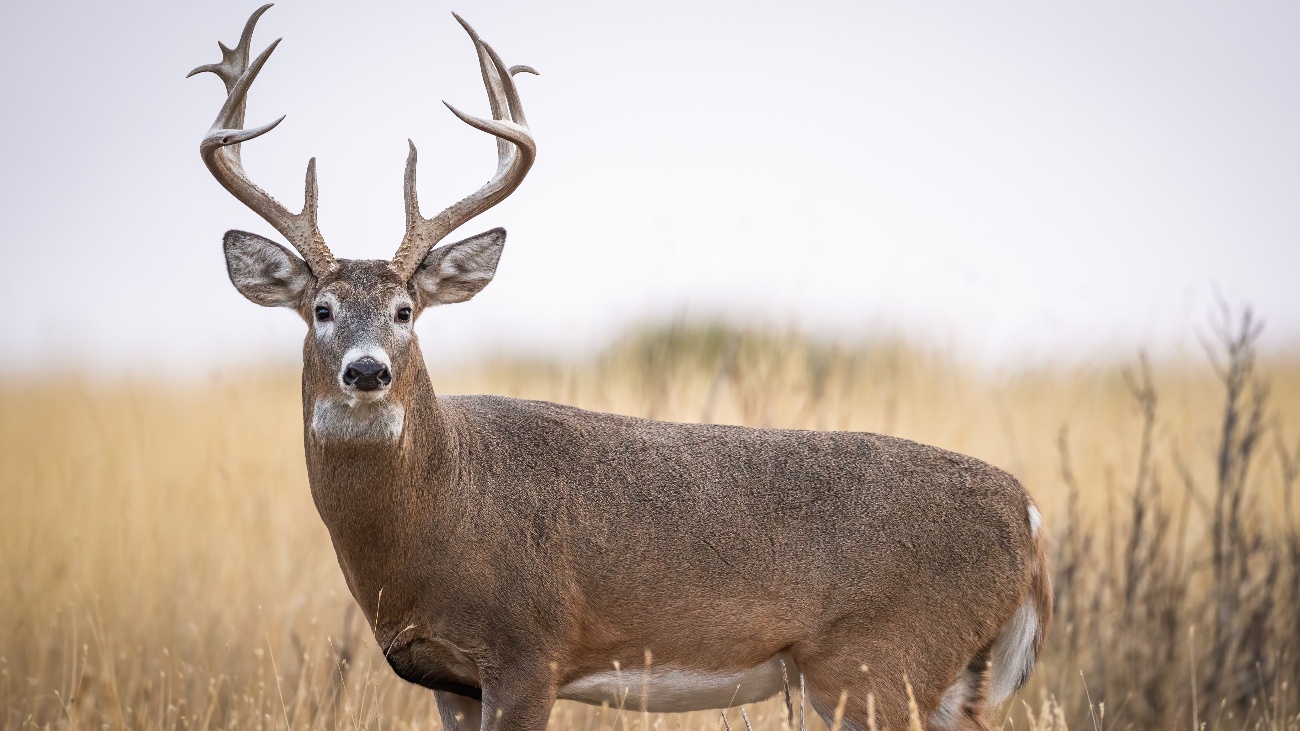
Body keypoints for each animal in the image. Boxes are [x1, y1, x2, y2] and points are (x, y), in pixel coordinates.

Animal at [189, 7, 1045, 728]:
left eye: (406, 312)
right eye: (320, 309)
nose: (367, 372)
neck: (438, 505)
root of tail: (1031, 514)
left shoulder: (527, 650)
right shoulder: (448, 679)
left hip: (876, 664)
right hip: (931, 678)